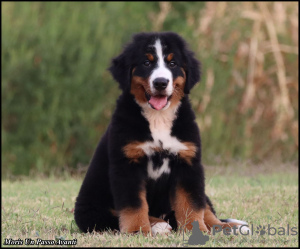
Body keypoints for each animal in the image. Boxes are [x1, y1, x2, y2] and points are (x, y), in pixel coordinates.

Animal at [74, 31, 247, 235]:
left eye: (172, 64)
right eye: (146, 63)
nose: (161, 82)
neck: (159, 118)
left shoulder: (188, 162)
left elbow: (191, 203)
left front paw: (195, 229)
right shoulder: (127, 164)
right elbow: (134, 205)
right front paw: (137, 230)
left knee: (206, 208)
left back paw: (229, 227)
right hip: (92, 210)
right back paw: (158, 224)